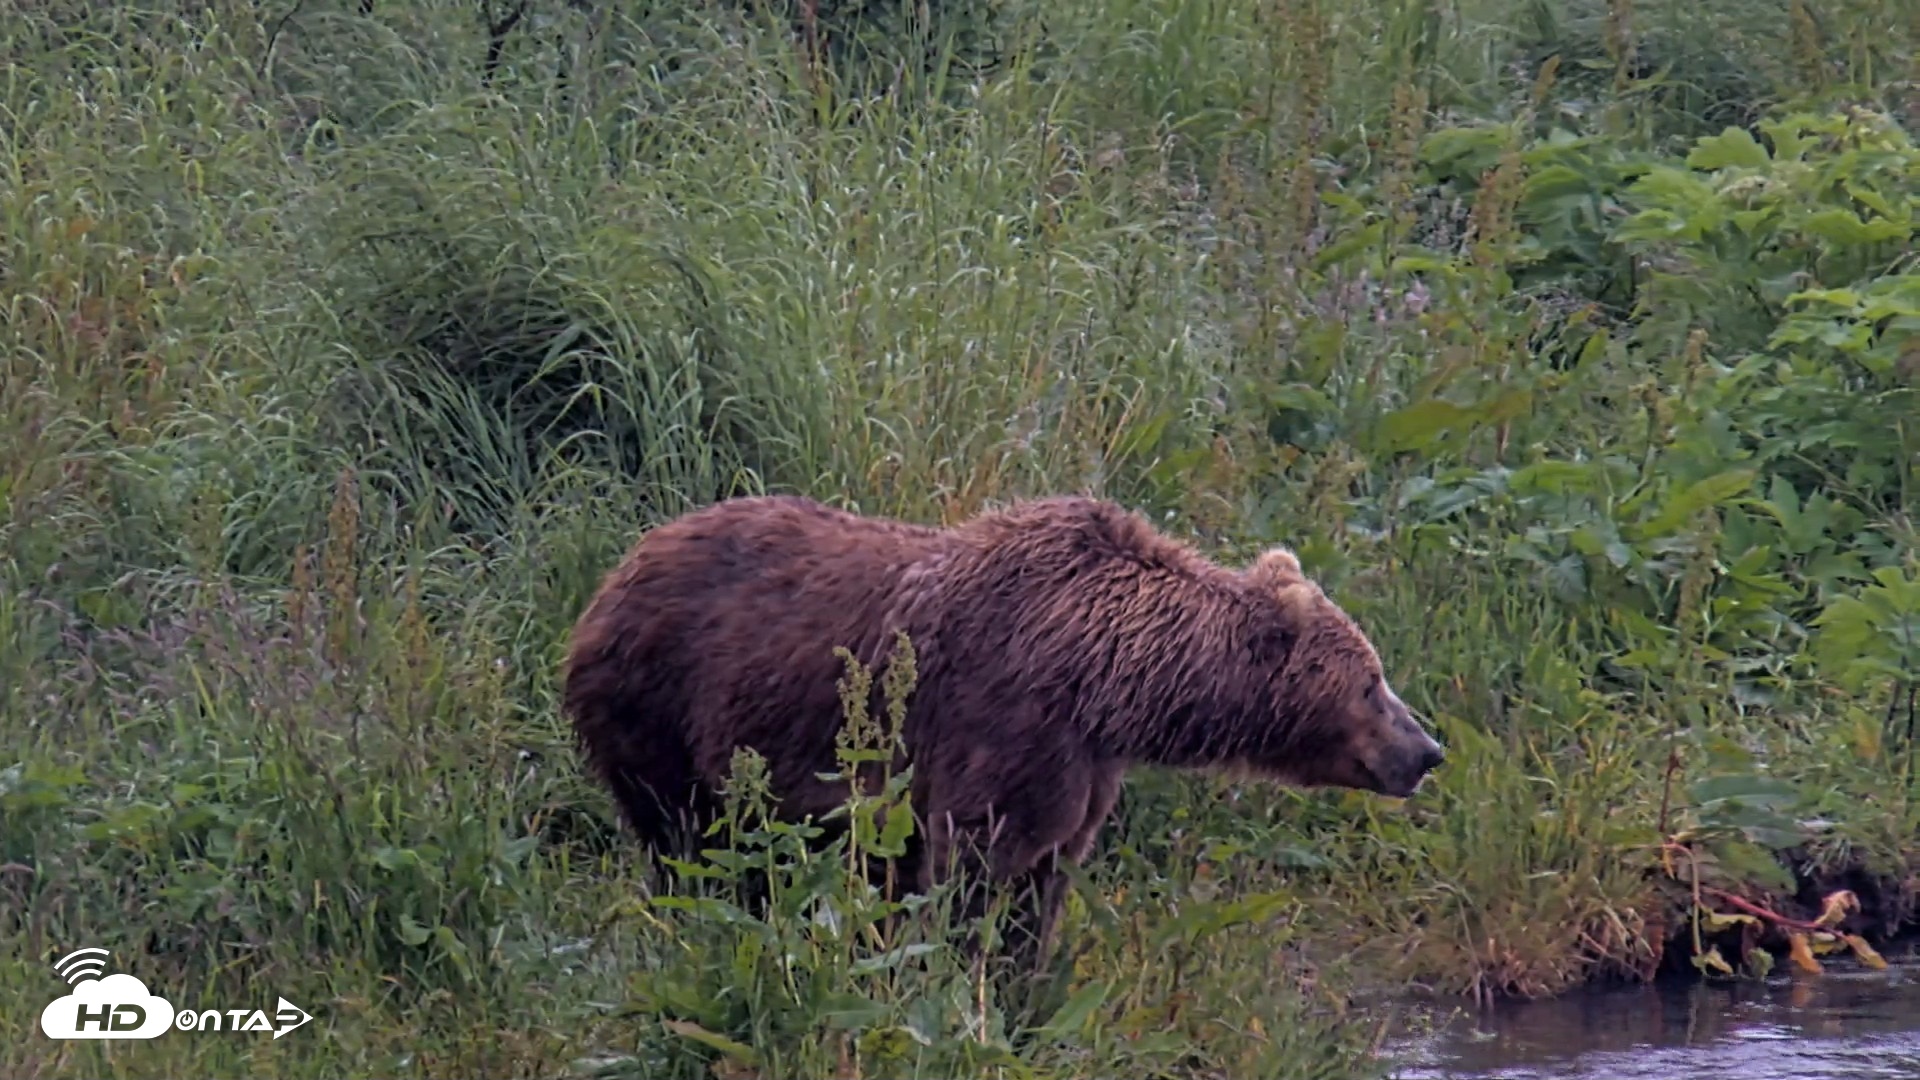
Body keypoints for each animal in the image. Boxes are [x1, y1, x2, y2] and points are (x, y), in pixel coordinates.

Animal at [561, 493, 1445, 968]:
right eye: (1372, 682)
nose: (1428, 750)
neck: (1112, 677)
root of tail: (621, 565)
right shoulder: (1004, 721)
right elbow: (975, 869)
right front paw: (956, 976)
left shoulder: (1084, 767)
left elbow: (1041, 880)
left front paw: (1022, 979)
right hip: (663, 708)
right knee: (691, 844)